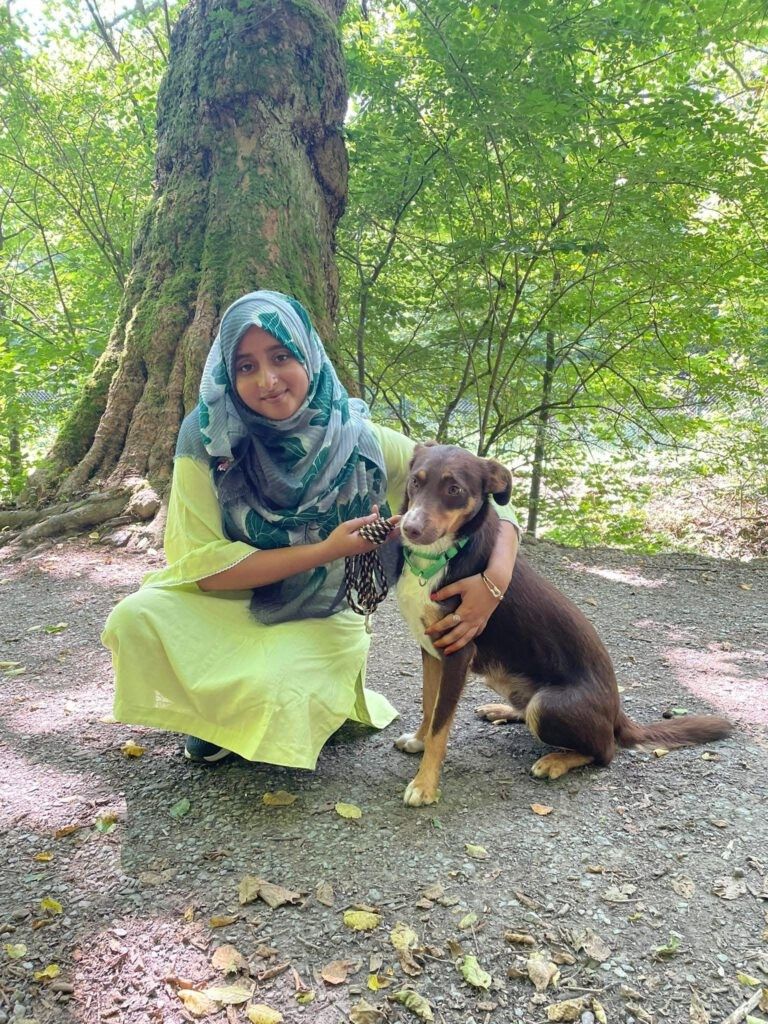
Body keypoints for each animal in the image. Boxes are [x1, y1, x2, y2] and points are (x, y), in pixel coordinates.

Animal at [394, 442, 733, 806]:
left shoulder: (457, 651)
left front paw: (425, 784)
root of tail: (617, 713)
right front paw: (418, 741)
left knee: (605, 751)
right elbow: (429, 707)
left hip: (549, 706)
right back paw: (502, 711)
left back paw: (556, 760)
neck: (440, 557)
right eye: (415, 481)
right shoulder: (431, 650)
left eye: (454, 489)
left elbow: (441, 724)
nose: (410, 529)